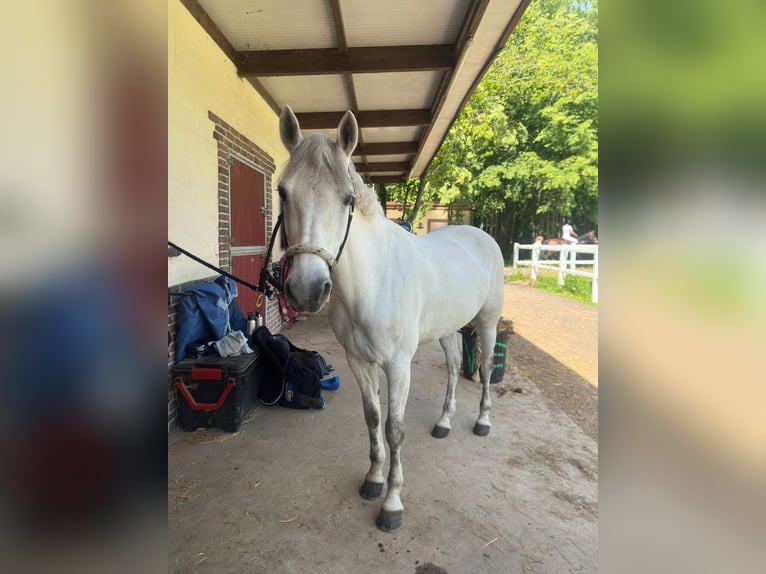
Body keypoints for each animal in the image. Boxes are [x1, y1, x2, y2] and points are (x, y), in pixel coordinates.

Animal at [277, 106, 505, 532]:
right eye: (283, 191)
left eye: (348, 198)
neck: (373, 282)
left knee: (482, 367)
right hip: (448, 328)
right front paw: (373, 481)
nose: (307, 290)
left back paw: (482, 422)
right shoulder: (359, 362)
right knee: (453, 367)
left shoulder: (398, 365)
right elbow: (372, 418)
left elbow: (394, 428)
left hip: (487, 322)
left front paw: (392, 503)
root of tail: (480, 234)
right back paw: (443, 423)